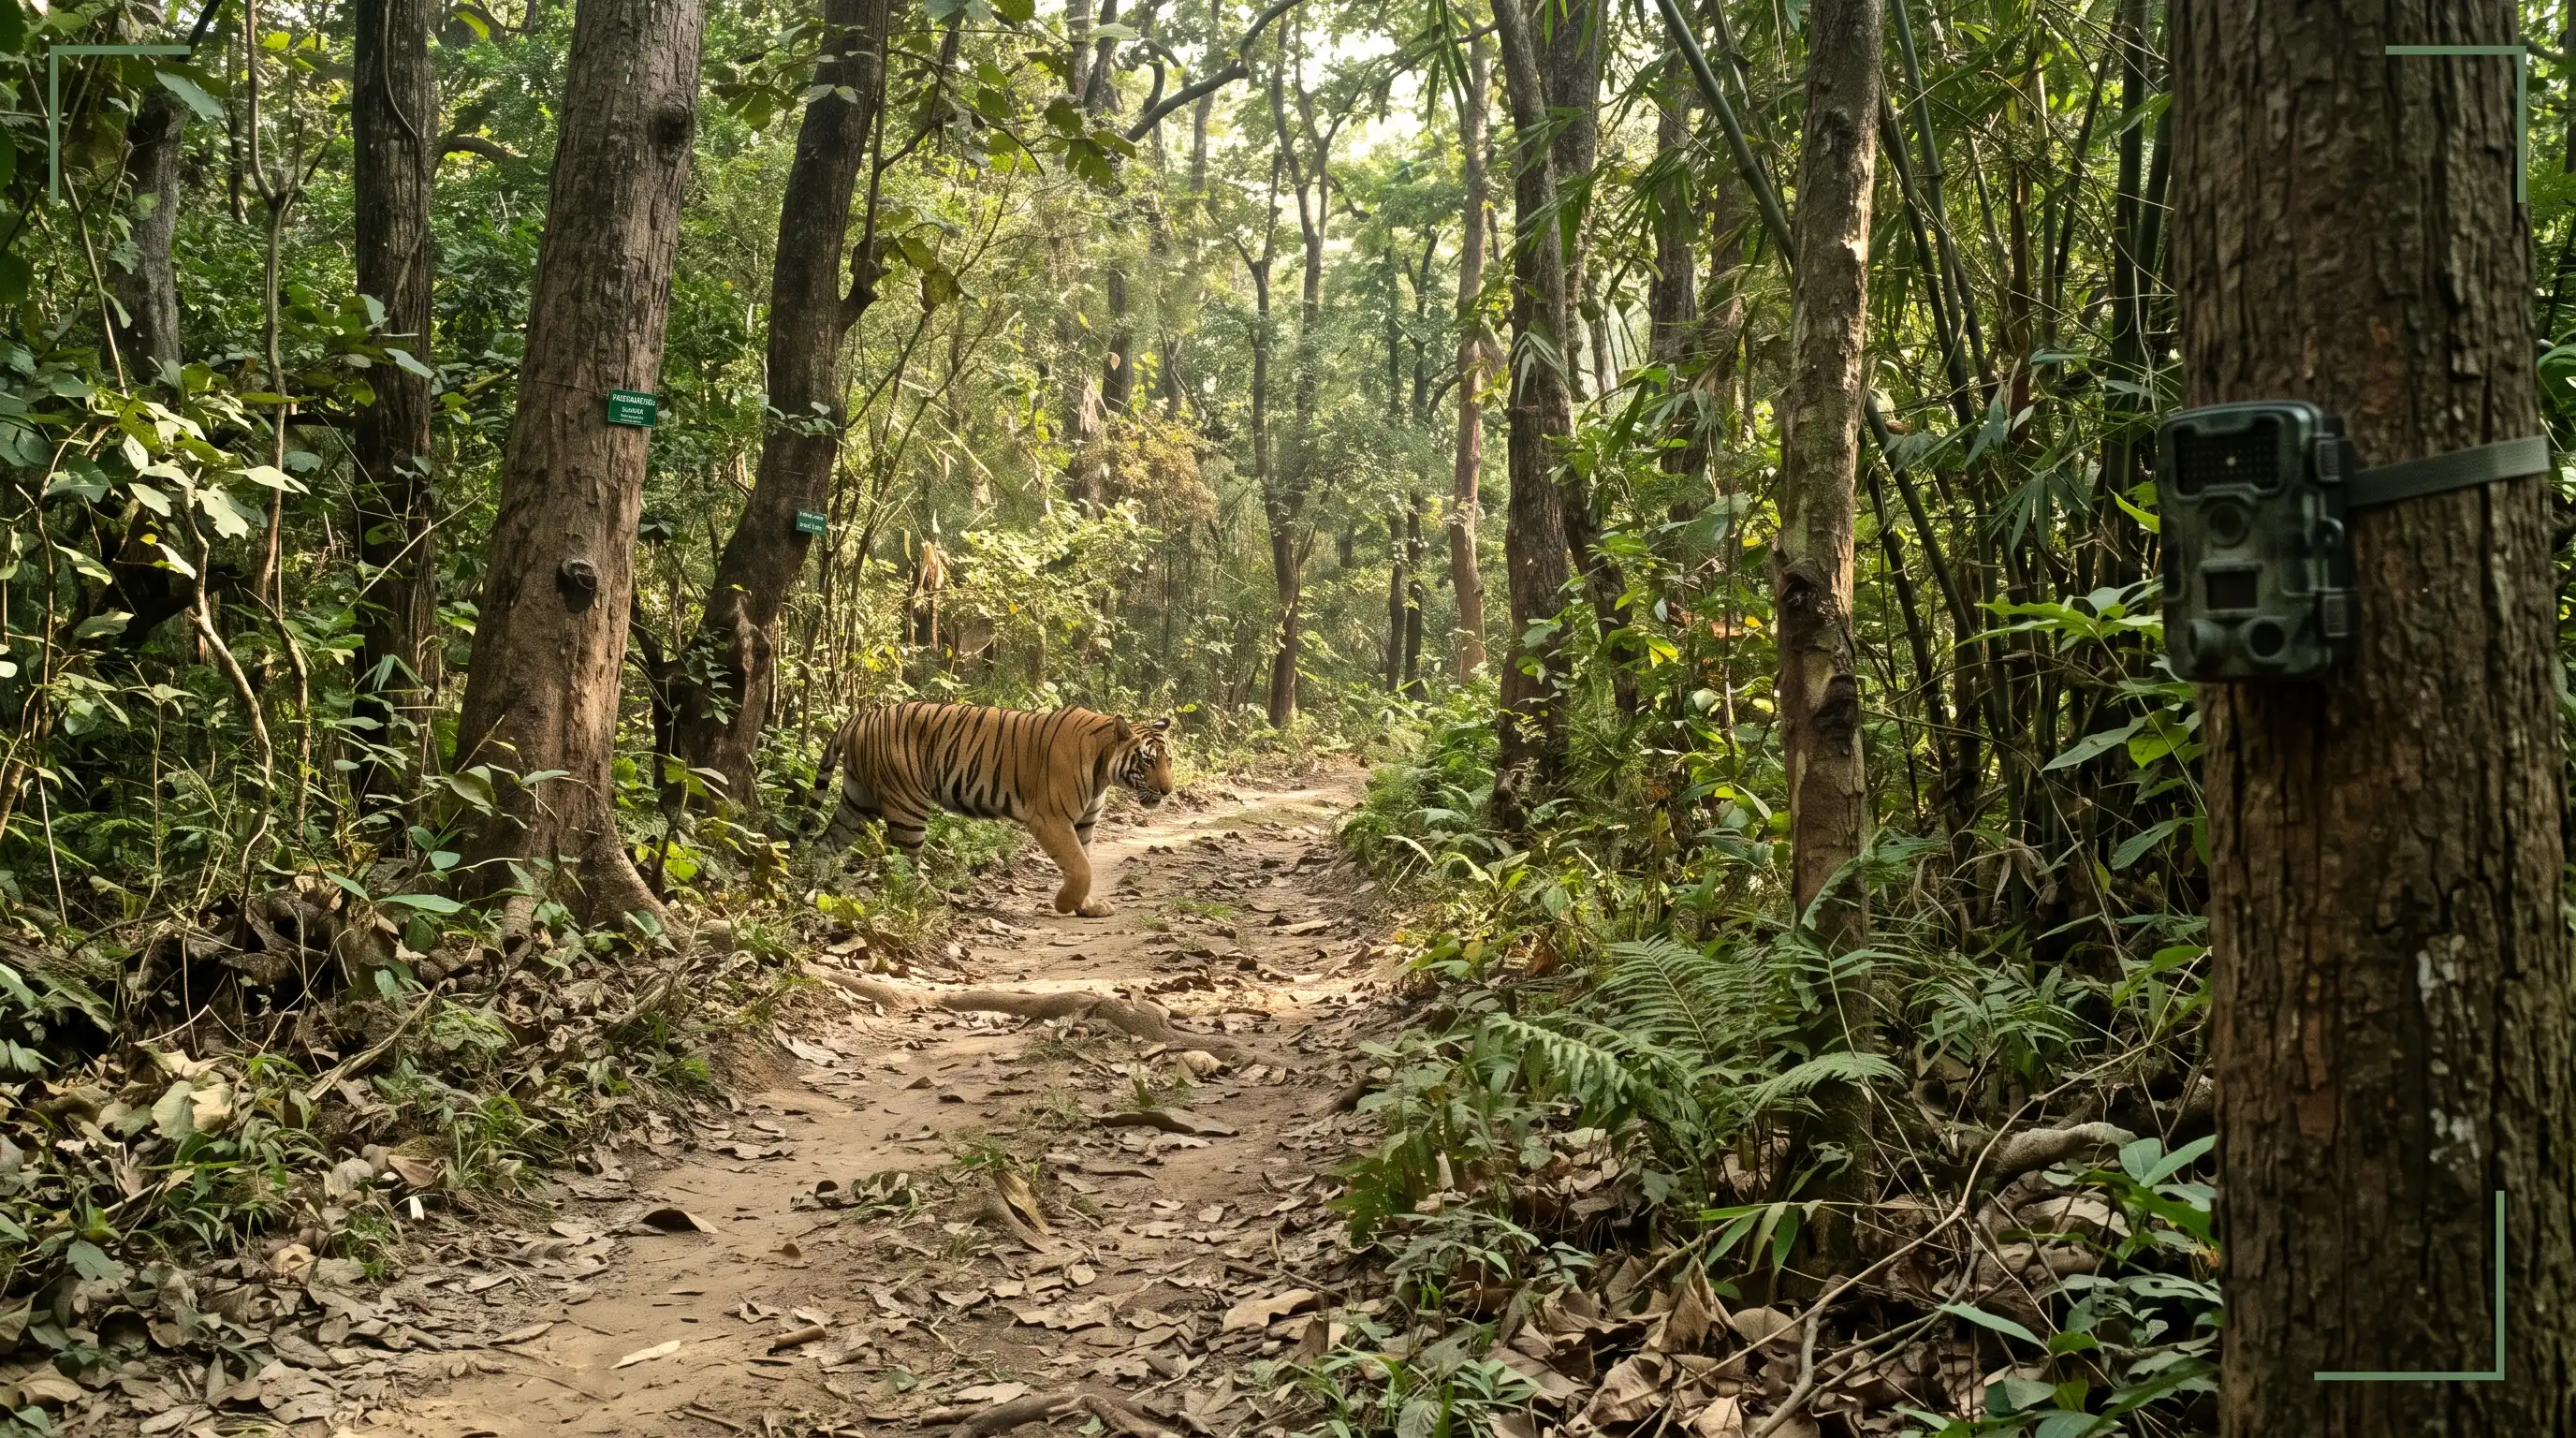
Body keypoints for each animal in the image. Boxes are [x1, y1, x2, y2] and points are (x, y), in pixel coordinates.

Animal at [809, 702, 1176, 917]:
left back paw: (820, 886)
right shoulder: (1051, 819)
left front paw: (1086, 907)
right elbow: (1081, 866)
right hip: (906, 803)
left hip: (859, 799)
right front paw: (1065, 905)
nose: (1167, 791)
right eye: (1147, 761)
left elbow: (1084, 863)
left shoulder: (1084, 824)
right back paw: (932, 898)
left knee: (824, 842)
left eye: (1168, 761)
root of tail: (859, 717)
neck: (1104, 769)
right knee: (906, 863)